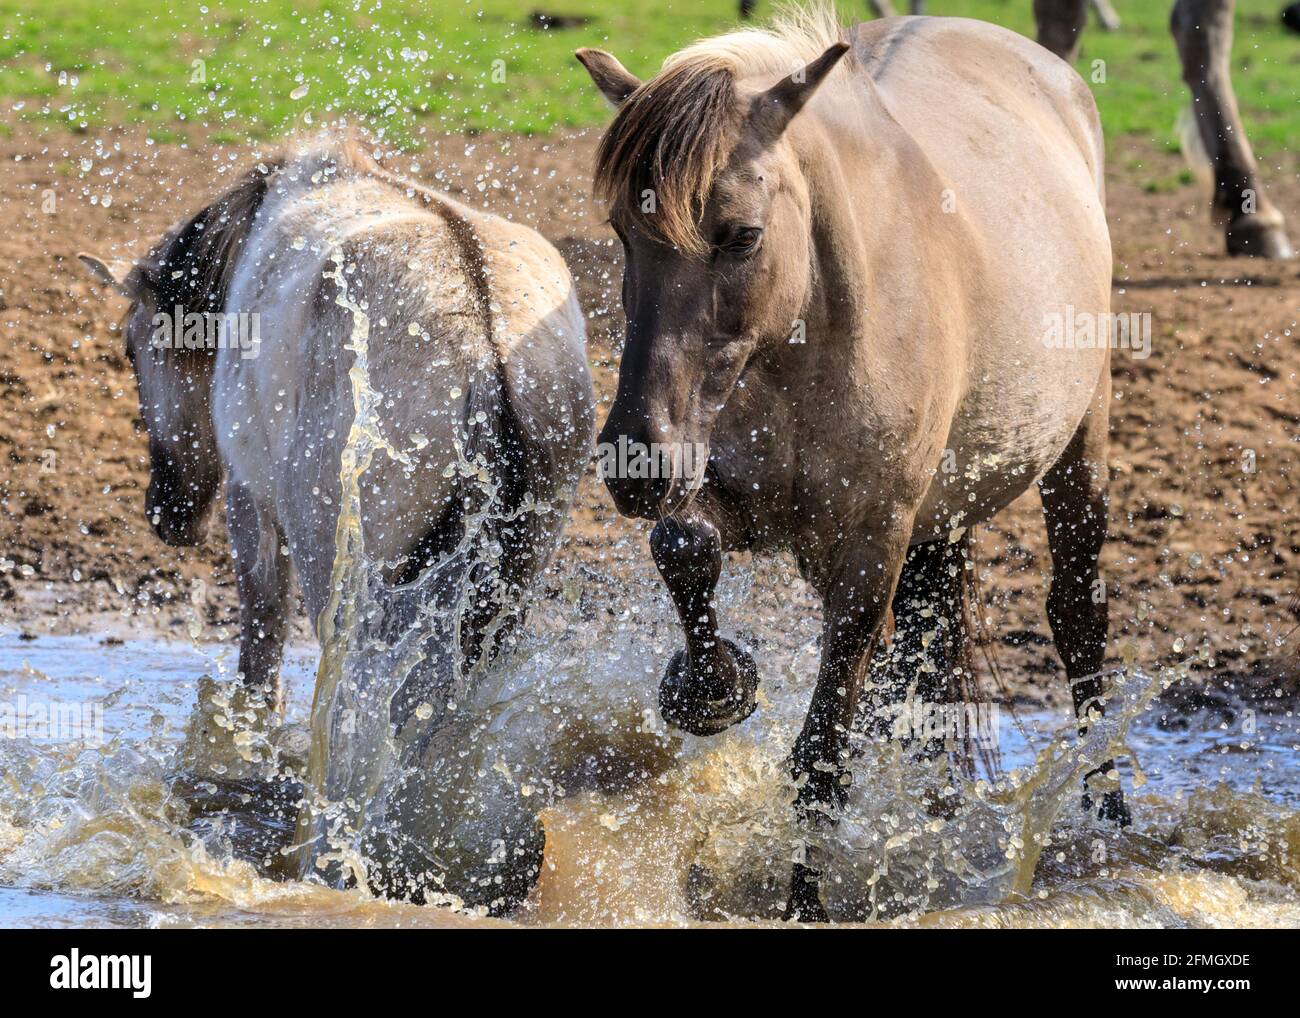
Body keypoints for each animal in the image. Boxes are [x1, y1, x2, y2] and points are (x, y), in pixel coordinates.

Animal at [585, 7, 1133, 920]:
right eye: (624, 233)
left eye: (741, 236)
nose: (636, 461)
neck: (810, 340)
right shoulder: (722, 486)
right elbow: (684, 546)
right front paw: (712, 687)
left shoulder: (869, 549)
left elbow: (820, 761)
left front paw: (806, 901)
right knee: (924, 660)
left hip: (1077, 450)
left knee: (1077, 615)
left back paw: (1109, 810)